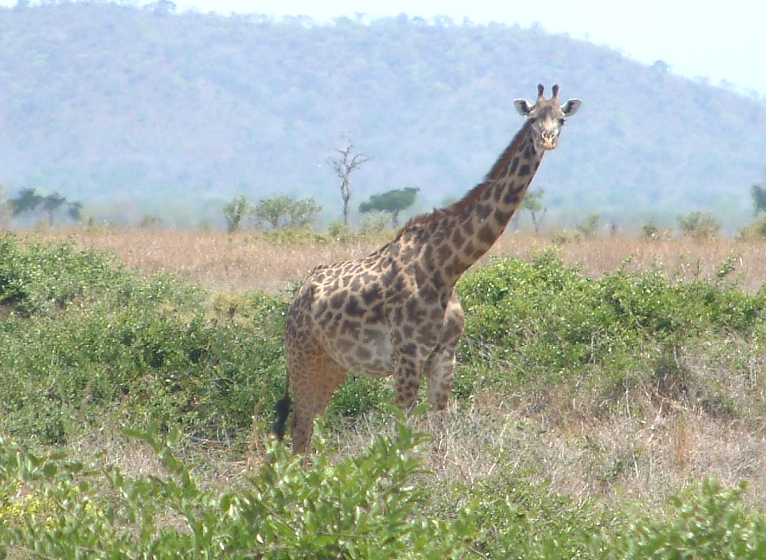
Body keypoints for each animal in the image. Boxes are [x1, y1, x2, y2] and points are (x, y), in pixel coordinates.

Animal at [274, 84, 581, 453]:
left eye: (561, 119)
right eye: (533, 118)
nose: (547, 139)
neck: (446, 268)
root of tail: (297, 298)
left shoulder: (445, 357)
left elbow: (438, 434)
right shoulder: (407, 357)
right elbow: (403, 434)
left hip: (333, 363)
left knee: (310, 420)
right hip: (303, 354)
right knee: (300, 422)